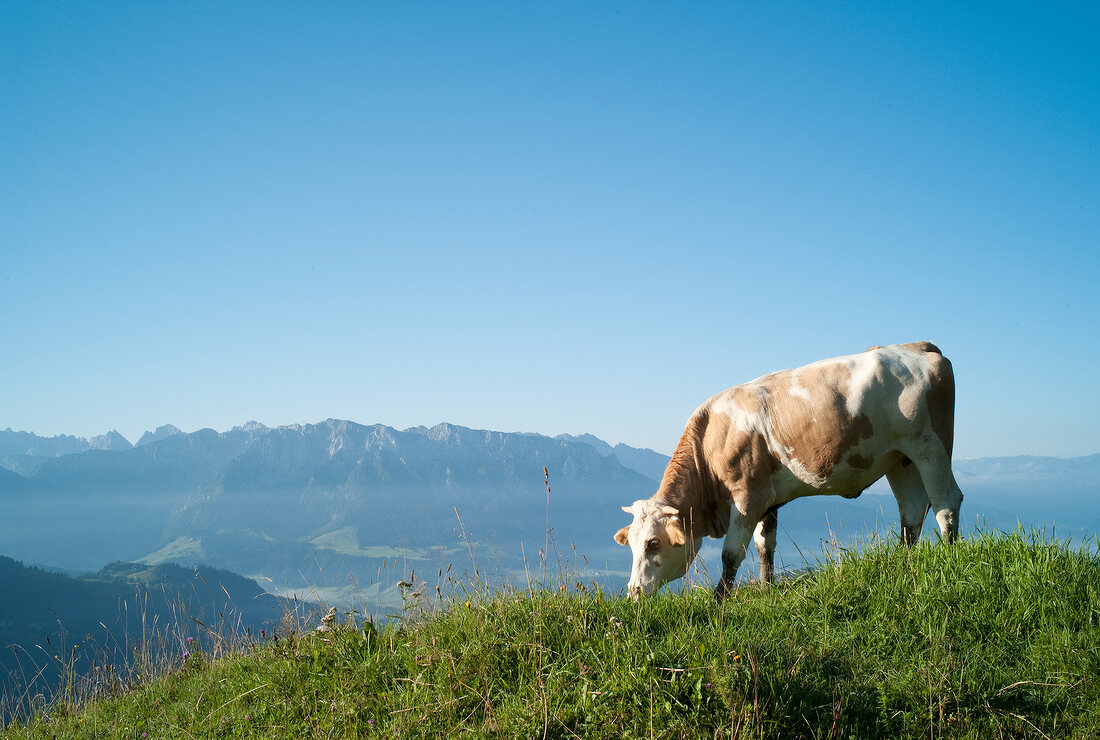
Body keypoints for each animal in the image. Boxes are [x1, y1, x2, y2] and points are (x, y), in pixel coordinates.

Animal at [616, 343, 968, 598]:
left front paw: (719, 599)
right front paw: (766, 587)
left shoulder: (748, 496)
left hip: (930, 447)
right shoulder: (768, 500)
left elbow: (731, 554)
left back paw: (950, 557)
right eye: (630, 543)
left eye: (652, 543)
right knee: (912, 512)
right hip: (900, 459)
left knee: (946, 502)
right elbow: (765, 546)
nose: (633, 592)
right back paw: (903, 563)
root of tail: (917, 346)